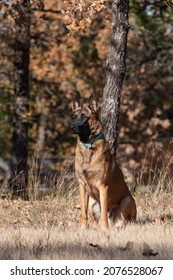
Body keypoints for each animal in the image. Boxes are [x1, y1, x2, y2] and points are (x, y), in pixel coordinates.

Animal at [71, 94, 136, 230]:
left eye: (84, 116)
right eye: (74, 116)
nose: (72, 127)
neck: (88, 145)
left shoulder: (103, 186)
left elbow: (104, 210)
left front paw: (104, 229)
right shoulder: (82, 186)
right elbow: (83, 211)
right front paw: (83, 228)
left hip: (127, 200)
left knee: (125, 221)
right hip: (92, 202)